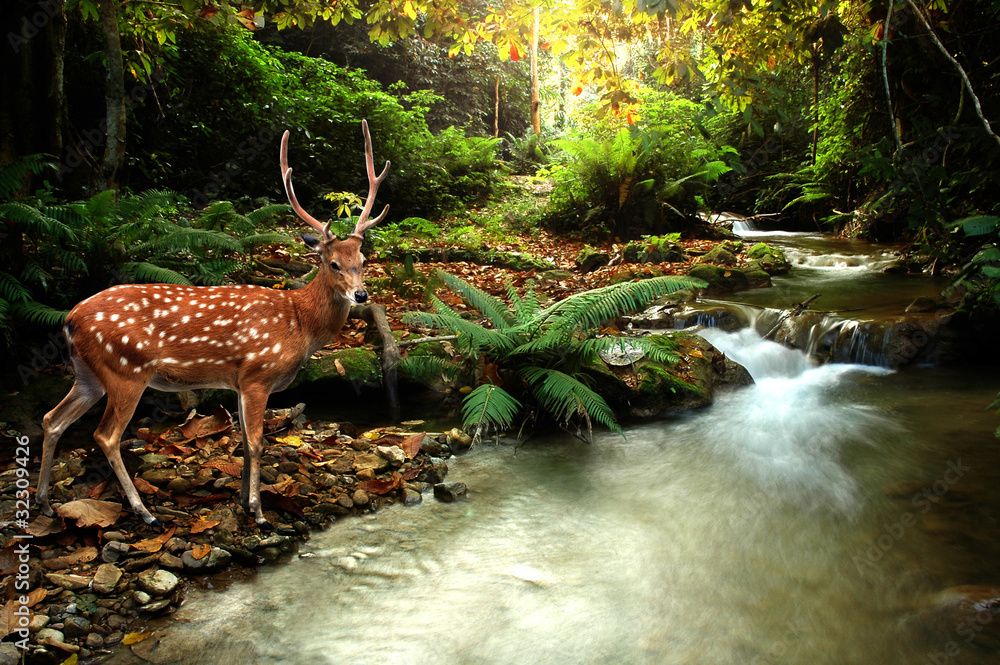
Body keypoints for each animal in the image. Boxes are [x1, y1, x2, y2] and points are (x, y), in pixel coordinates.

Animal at [35, 119, 388, 528]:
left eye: (362, 260)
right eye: (332, 263)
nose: (361, 295)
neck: (299, 323)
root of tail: (69, 319)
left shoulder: (238, 381)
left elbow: (244, 443)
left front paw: (242, 503)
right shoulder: (258, 375)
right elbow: (257, 442)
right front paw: (260, 513)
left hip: (88, 374)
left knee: (52, 418)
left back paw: (45, 503)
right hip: (126, 370)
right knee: (105, 435)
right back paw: (145, 513)